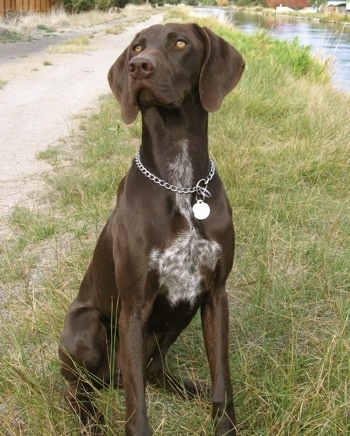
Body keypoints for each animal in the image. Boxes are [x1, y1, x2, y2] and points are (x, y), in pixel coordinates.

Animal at [58, 22, 245, 434]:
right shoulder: (134, 307)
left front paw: (223, 422)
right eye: (137, 48)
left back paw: (188, 390)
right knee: (76, 388)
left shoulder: (215, 296)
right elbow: (136, 408)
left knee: (152, 371)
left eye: (181, 43)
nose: (138, 68)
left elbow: (222, 379)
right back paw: (91, 420)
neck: (181, 180)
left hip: (177, 319)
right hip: (86, 325)